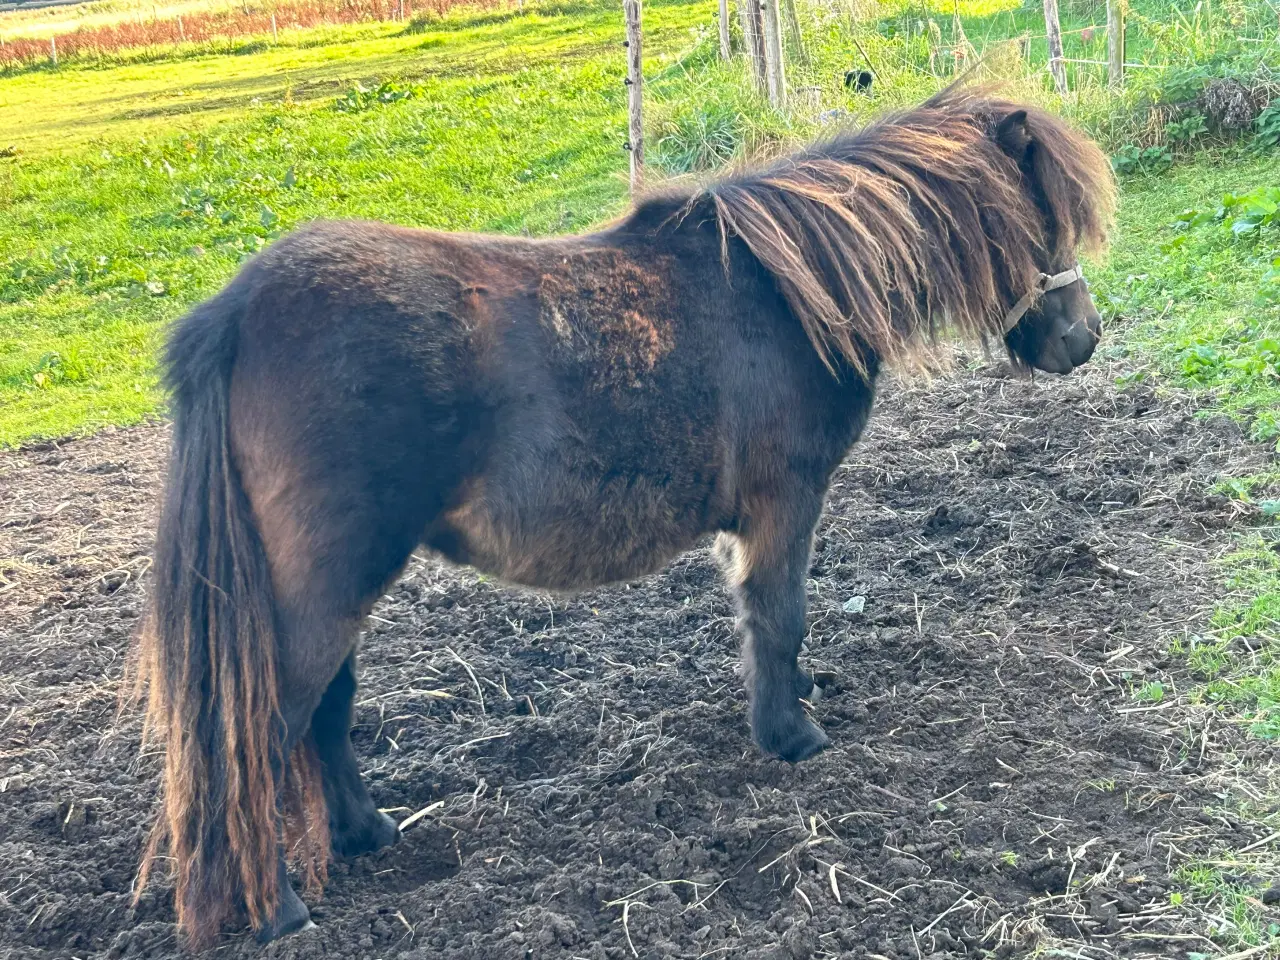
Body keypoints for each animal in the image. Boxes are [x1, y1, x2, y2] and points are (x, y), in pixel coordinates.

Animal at [129, 88, 1111, 947]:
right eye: (1043, 222)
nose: (1083, 338)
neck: (788, 293)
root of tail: (236, 312)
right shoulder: (786, 502)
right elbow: (781, 616)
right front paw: (792, 737)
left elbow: (763, 624)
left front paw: (786, 709)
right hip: (325, 588)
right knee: (256, 740)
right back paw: (280, 912)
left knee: (325, 716)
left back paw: (368, 835)